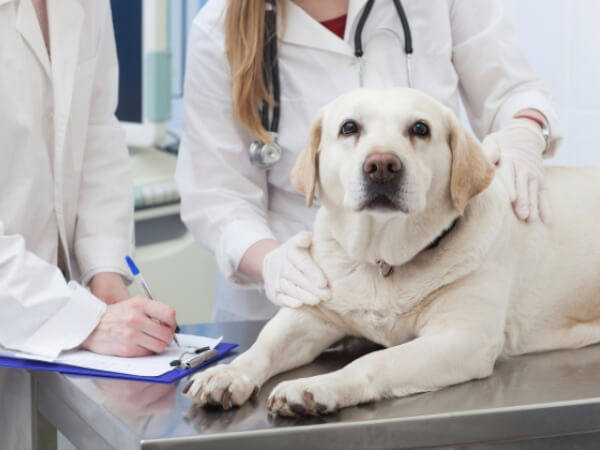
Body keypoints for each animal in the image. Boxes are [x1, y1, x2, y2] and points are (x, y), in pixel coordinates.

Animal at [185, 88, 600, 418]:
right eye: (349, 128)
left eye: (420, 129)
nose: (382, 165)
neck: (383, 261)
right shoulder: (311, 315)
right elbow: (264, 346)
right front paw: (226, 374)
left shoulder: (465, 338)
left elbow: (374, 359)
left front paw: (318, 387)